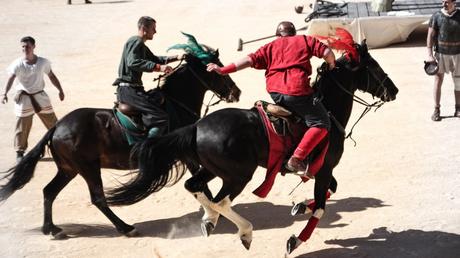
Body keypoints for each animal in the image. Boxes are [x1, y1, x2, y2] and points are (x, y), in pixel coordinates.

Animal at [0, 34, 243, 240]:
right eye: (215, 70)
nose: (236, 92)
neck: (176, 102)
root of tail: (57, 126)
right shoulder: (187, 155)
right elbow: (201, 183)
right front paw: (214, 212)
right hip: (88, 167)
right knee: (98, 198)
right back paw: (125, 228)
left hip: (69, 169)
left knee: (49, 191)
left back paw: (51, 229)